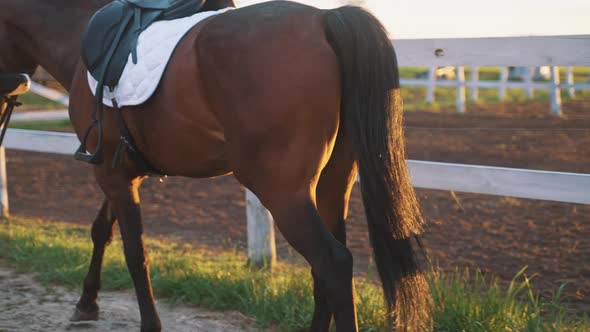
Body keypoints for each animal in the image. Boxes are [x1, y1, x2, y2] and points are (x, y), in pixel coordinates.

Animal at [2, 0, 432, 330]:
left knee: (334, 264)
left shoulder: (110, 172)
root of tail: (325, 19)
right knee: (324, 269)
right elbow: (101, 232)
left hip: (283, 193)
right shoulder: (118, 171)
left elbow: (135, 253)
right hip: (332, 184)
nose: (12, 84)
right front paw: (86, 302)